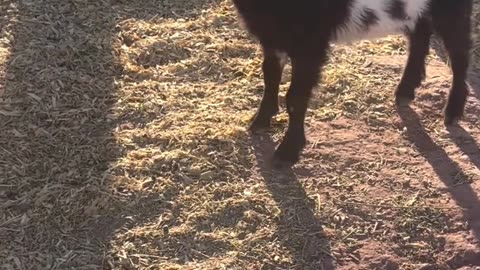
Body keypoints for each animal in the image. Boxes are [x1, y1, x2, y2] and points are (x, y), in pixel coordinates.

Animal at [232, 0, 472, 166]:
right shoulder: (272, 34)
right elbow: (270, 76)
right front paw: (260, 121)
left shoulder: (310, 42)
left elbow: (296, 97)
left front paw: (288, 151)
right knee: (421, 34)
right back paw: (405, 90)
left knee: (459, 51)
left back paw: (452, 111)